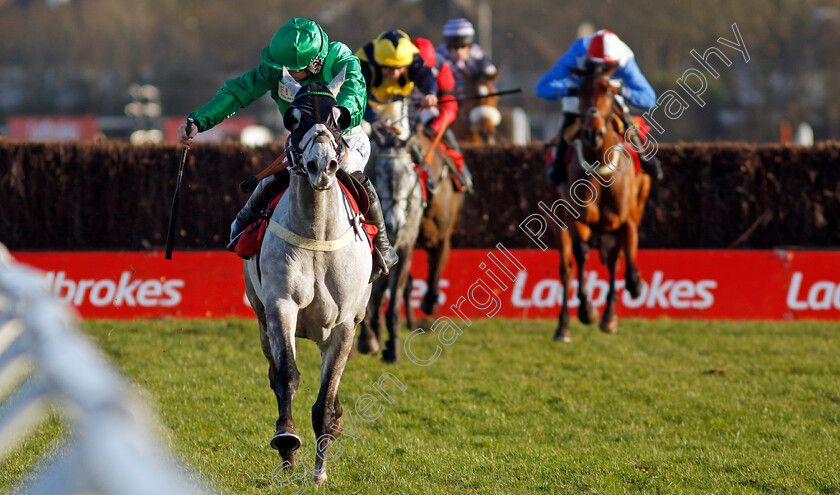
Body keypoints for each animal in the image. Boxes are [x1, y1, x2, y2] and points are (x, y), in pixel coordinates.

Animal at [552, 60, 648, 342]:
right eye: (579, 91)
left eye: (608, 91)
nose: (592, 133)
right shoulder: (576, 219)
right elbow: (581, 255)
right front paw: (586, 309)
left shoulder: (626, 219)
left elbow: (627, 262)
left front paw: (635, 285)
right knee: (566, 268)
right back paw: (563, 326)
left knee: (616, 260)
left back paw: (609, 317)